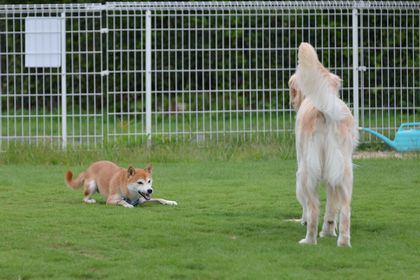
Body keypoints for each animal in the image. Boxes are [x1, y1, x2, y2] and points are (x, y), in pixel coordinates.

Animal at [290, 42, 360, 246]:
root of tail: (324, 110)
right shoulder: (332, 174)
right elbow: (331, 207)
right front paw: (329, 230)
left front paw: (306, 222)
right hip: (344, 171)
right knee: (345, 209)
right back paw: (343, 242)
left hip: (305, 173)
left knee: (313, 208)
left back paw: (309, 240)